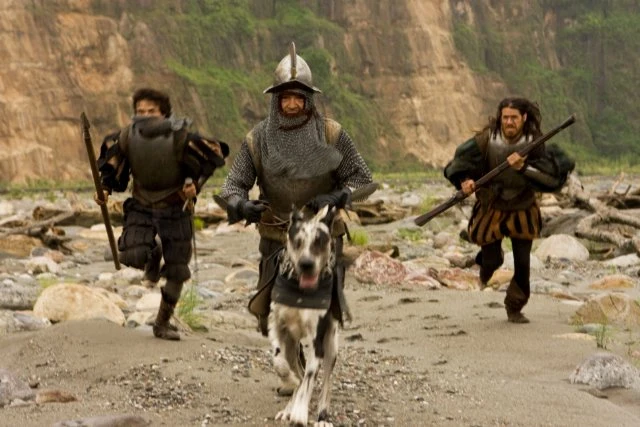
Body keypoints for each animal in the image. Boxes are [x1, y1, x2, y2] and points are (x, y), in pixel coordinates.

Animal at [268, 206, 340, 426]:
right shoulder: (277, 326)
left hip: (331, 345)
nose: (306, 264)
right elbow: (279, 361)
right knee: (297, 371)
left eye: (320, 241)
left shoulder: (315, 342)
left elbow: (308, 379)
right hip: (293, 347)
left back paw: (322, 417)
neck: (299, 293)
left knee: (325, 383)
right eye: (297, 241)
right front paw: (289, 381)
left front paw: (300, 413)